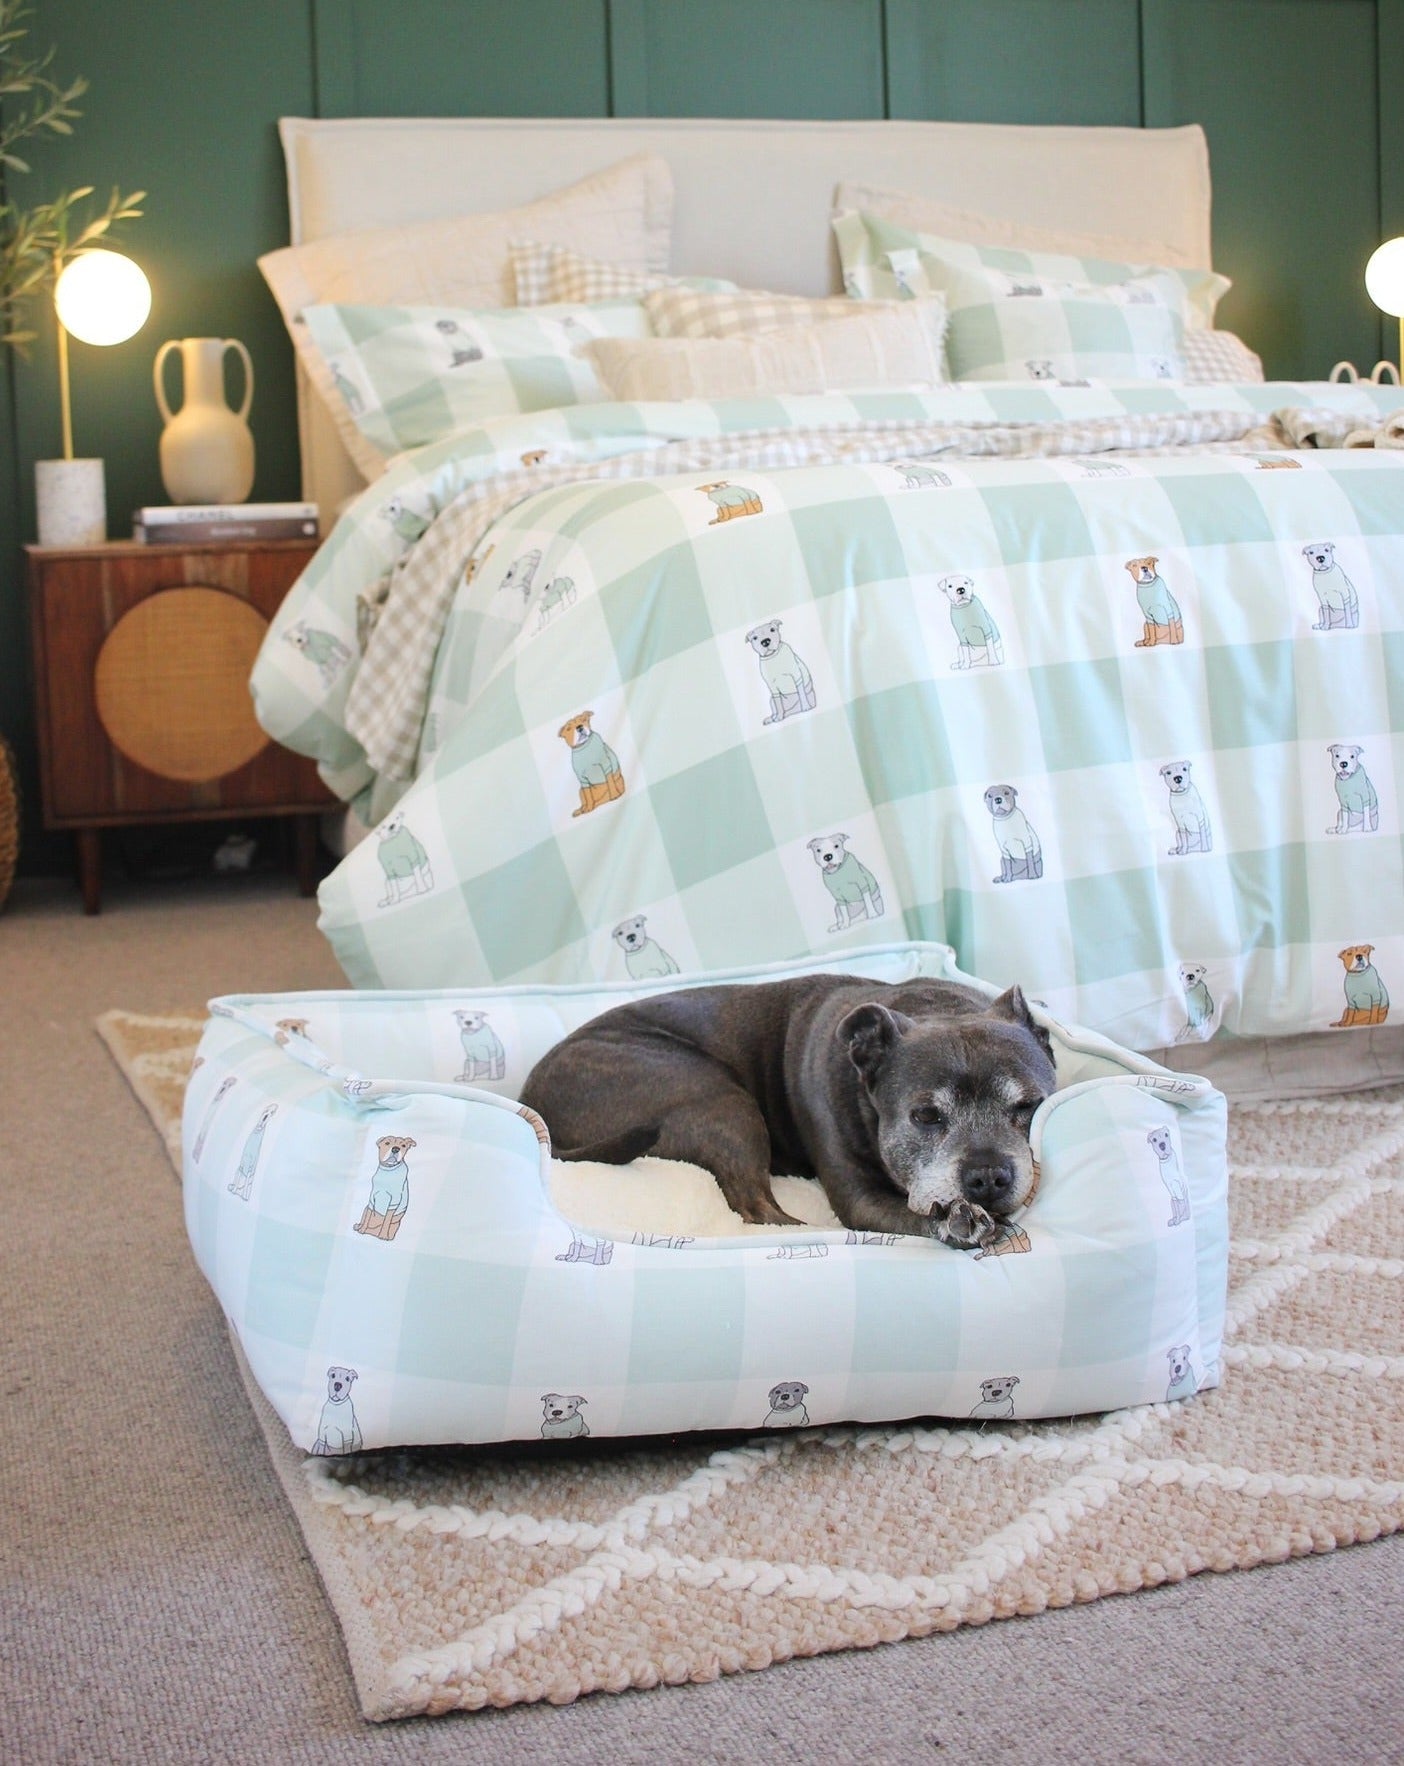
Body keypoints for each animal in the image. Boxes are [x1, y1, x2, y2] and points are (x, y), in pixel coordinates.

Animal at [515, 974, 1052, 1250]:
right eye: (925, 1116)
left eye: (1030, 1105)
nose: (987, 1177)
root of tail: (534, 1096)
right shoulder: (859, 1198)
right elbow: (910, 1213)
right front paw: (955, 1219)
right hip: (720, 1098)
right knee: (757, 1210)